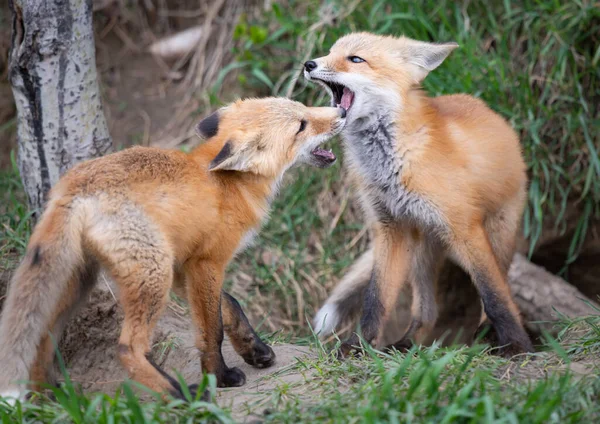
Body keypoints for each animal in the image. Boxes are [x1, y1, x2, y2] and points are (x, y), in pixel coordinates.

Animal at [0, 97, 344, 402]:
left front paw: (254, 349)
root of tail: (72, 187)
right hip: (153, 275)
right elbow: (211, 331)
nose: (341, 110)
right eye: (301, 125)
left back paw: (52, 398)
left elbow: (231, 305)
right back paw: (181, 395)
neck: (228, 186)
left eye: (302, 108)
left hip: (83, 281)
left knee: (43, 337)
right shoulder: (207, 263)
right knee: (127, 348)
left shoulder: (184, 264)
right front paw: (221, 376)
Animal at [304, 34, 536, 358]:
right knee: (427, 311)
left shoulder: (464, 228)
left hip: (497, 235)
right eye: (330, 52)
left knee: (497, 287)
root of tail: (495, 115)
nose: (308, 64)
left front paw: (517, 345)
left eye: (355, 59)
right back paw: (407, 343)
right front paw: (357, 345)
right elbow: (376, 299)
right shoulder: (390, 229)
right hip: (420, 252)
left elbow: (495, 295)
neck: (394, 164)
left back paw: (486, 334)